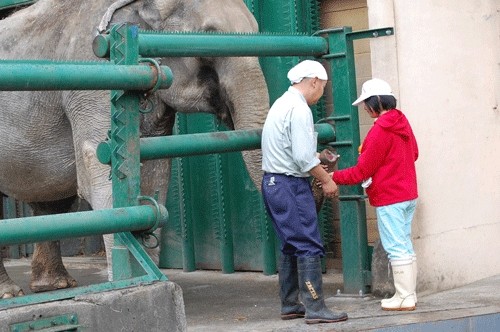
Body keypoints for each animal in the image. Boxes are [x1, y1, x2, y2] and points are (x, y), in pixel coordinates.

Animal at [0, 0, 270, 300]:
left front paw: (147, 277)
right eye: (208, 40)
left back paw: (55, 285)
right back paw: (11, 293)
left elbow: (154, 173)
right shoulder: (93, 78)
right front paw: (129, 282)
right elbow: (99, 169)